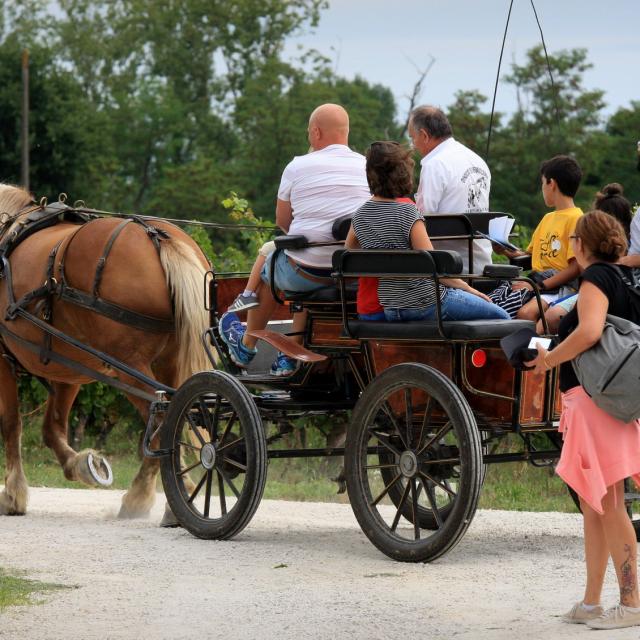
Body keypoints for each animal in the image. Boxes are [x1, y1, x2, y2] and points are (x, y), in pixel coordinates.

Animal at [0, 184, 211, 520]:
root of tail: (158, 236)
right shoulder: (68, 368)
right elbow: (52, 427)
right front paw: (82, 465)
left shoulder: (3, 359)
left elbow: (11, 423)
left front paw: (13, 494)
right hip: (168, 361)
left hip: (128, 364)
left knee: (162, 417)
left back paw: (140, 496)